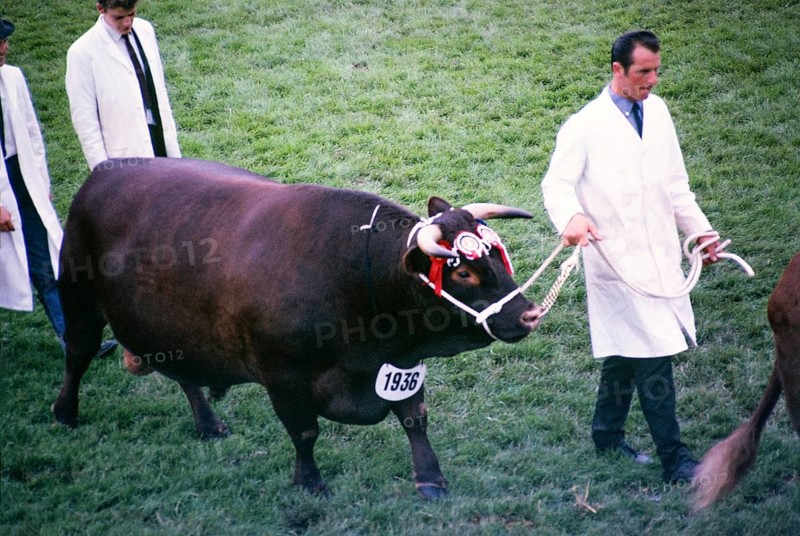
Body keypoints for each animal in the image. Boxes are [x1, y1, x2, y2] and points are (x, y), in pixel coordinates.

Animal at [51, 157, 543, 498]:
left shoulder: (402, 364)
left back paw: (208, 424)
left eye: (499, 255)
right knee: (76, 355)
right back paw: (65, 413)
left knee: (184, 375)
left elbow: (413, 418)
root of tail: (104, 172)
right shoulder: (283, 377)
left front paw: (431, 480)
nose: (528, 313)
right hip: (78, 300)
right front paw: (310, 483)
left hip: (168, 330)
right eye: (464, 272)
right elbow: (305, 433)